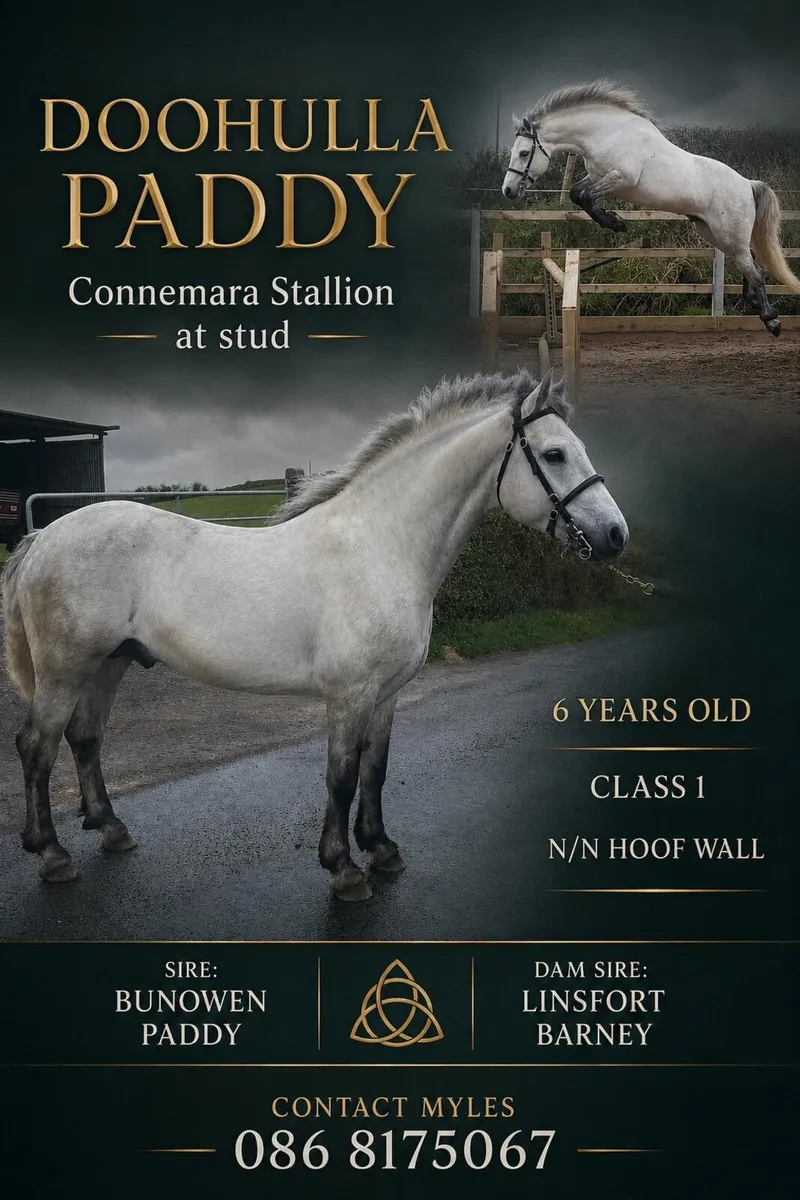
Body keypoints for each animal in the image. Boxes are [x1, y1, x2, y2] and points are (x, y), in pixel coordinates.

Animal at [2, 368, 627, 902]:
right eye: (554, 454)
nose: (615, 535)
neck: (382, 545)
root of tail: (43, 538)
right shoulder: (349, 695)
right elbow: (342, 777)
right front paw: (344, 869)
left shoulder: (387, 694)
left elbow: (376, 770)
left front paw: (382, 850)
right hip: (66, 668)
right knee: (37, 746)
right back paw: (52, 855)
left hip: (110, 662)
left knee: (85, 739)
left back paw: (112, 830)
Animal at [501, 80, 800, 337]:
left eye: (524, 153)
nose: (508, 190)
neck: (606, 133)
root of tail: (748, 184)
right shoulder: (597, 176)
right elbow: (577, 194)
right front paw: (613, 220)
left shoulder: (620, 178)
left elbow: (585, 198)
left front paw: (616, 222)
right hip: (714, 233)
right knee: (752, 263)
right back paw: (755, 304)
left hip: (729, 235)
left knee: (756, 271)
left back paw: (771, 320)